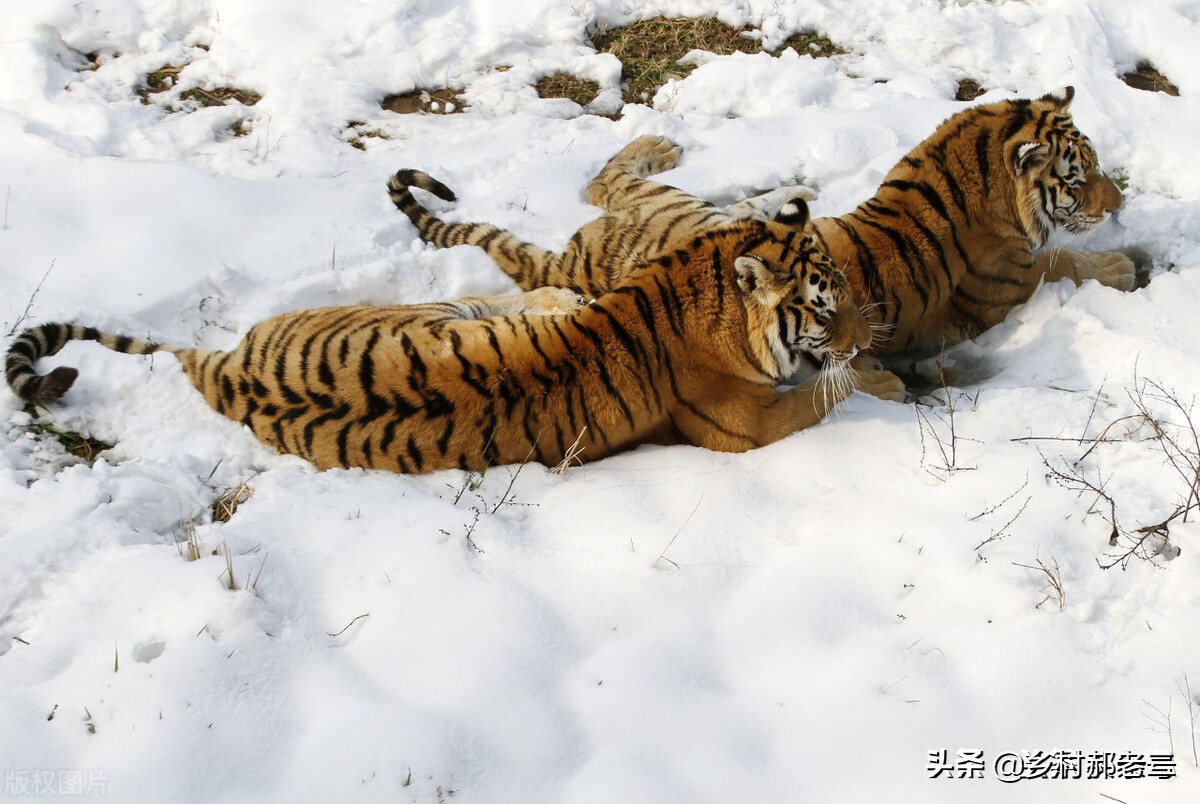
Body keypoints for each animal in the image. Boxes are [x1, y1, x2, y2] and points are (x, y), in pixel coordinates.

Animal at [7, 207, 883, 475]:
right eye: (823, 302)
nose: (866, 325)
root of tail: (222, 365)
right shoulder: (749, 424)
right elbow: (822, 396)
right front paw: (879, 379)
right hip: (437, 311)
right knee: (513, 297)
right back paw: (561, 293)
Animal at [391, 85, 1132, 360]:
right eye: (1078, 176)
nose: (1119, 203)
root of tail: (572, 265)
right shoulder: (1012, 281)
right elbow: (1067, 260)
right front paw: (1126, 264)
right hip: (668, 202)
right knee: (606, 180)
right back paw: (663, 144)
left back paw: (791, 191)